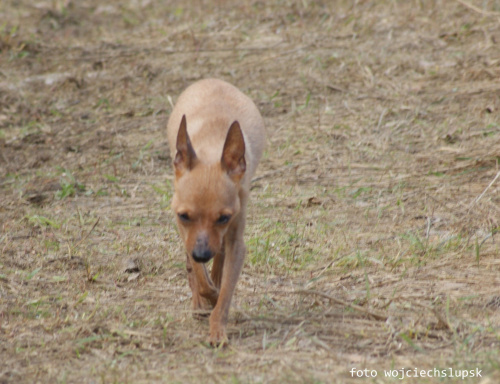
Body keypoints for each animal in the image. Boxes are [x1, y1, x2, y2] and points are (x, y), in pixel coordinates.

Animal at [167, 78, 266, 344]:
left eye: (223, 218)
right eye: (184, 216)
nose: (203, 254)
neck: (212, 149)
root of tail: (212, 80)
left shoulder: (235, 241)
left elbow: (224, 293)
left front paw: (217, 328)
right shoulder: (186, 233)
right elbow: (199, 275)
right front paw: (205, 296)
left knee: (219, 257)